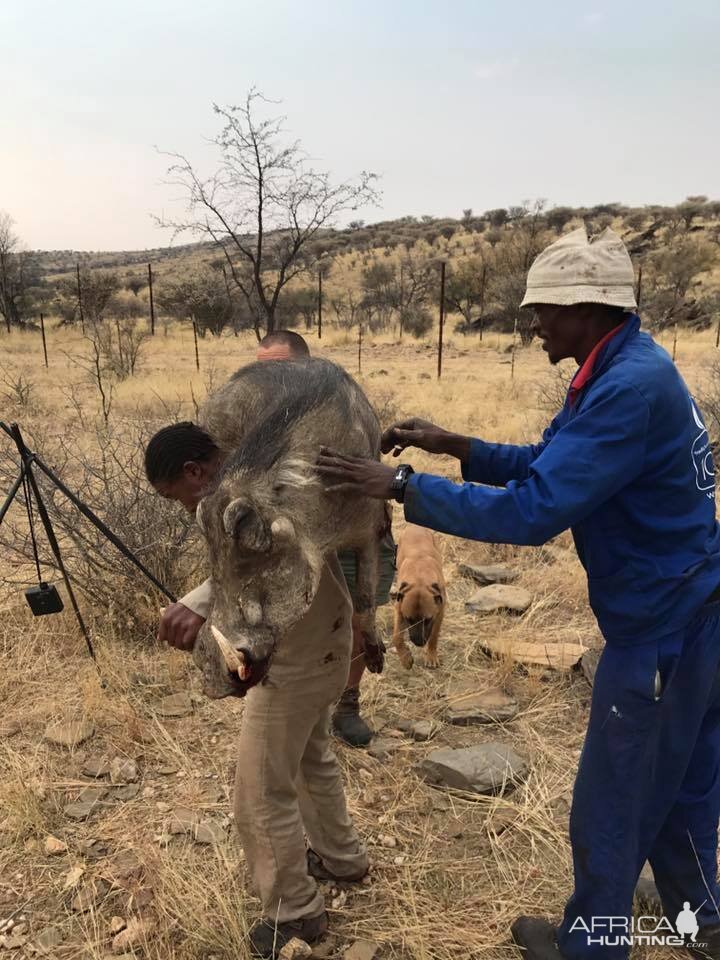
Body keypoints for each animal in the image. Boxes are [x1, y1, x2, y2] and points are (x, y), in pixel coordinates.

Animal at [390, 524, 448, 668]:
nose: (418, 643)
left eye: (427, 620)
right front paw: (405, 658)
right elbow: (396, 636)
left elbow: (433, 636)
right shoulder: (399, 609)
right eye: (408, 619)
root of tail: (414, 526)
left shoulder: (439, 612)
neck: (420, 576)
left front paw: (431, 656)